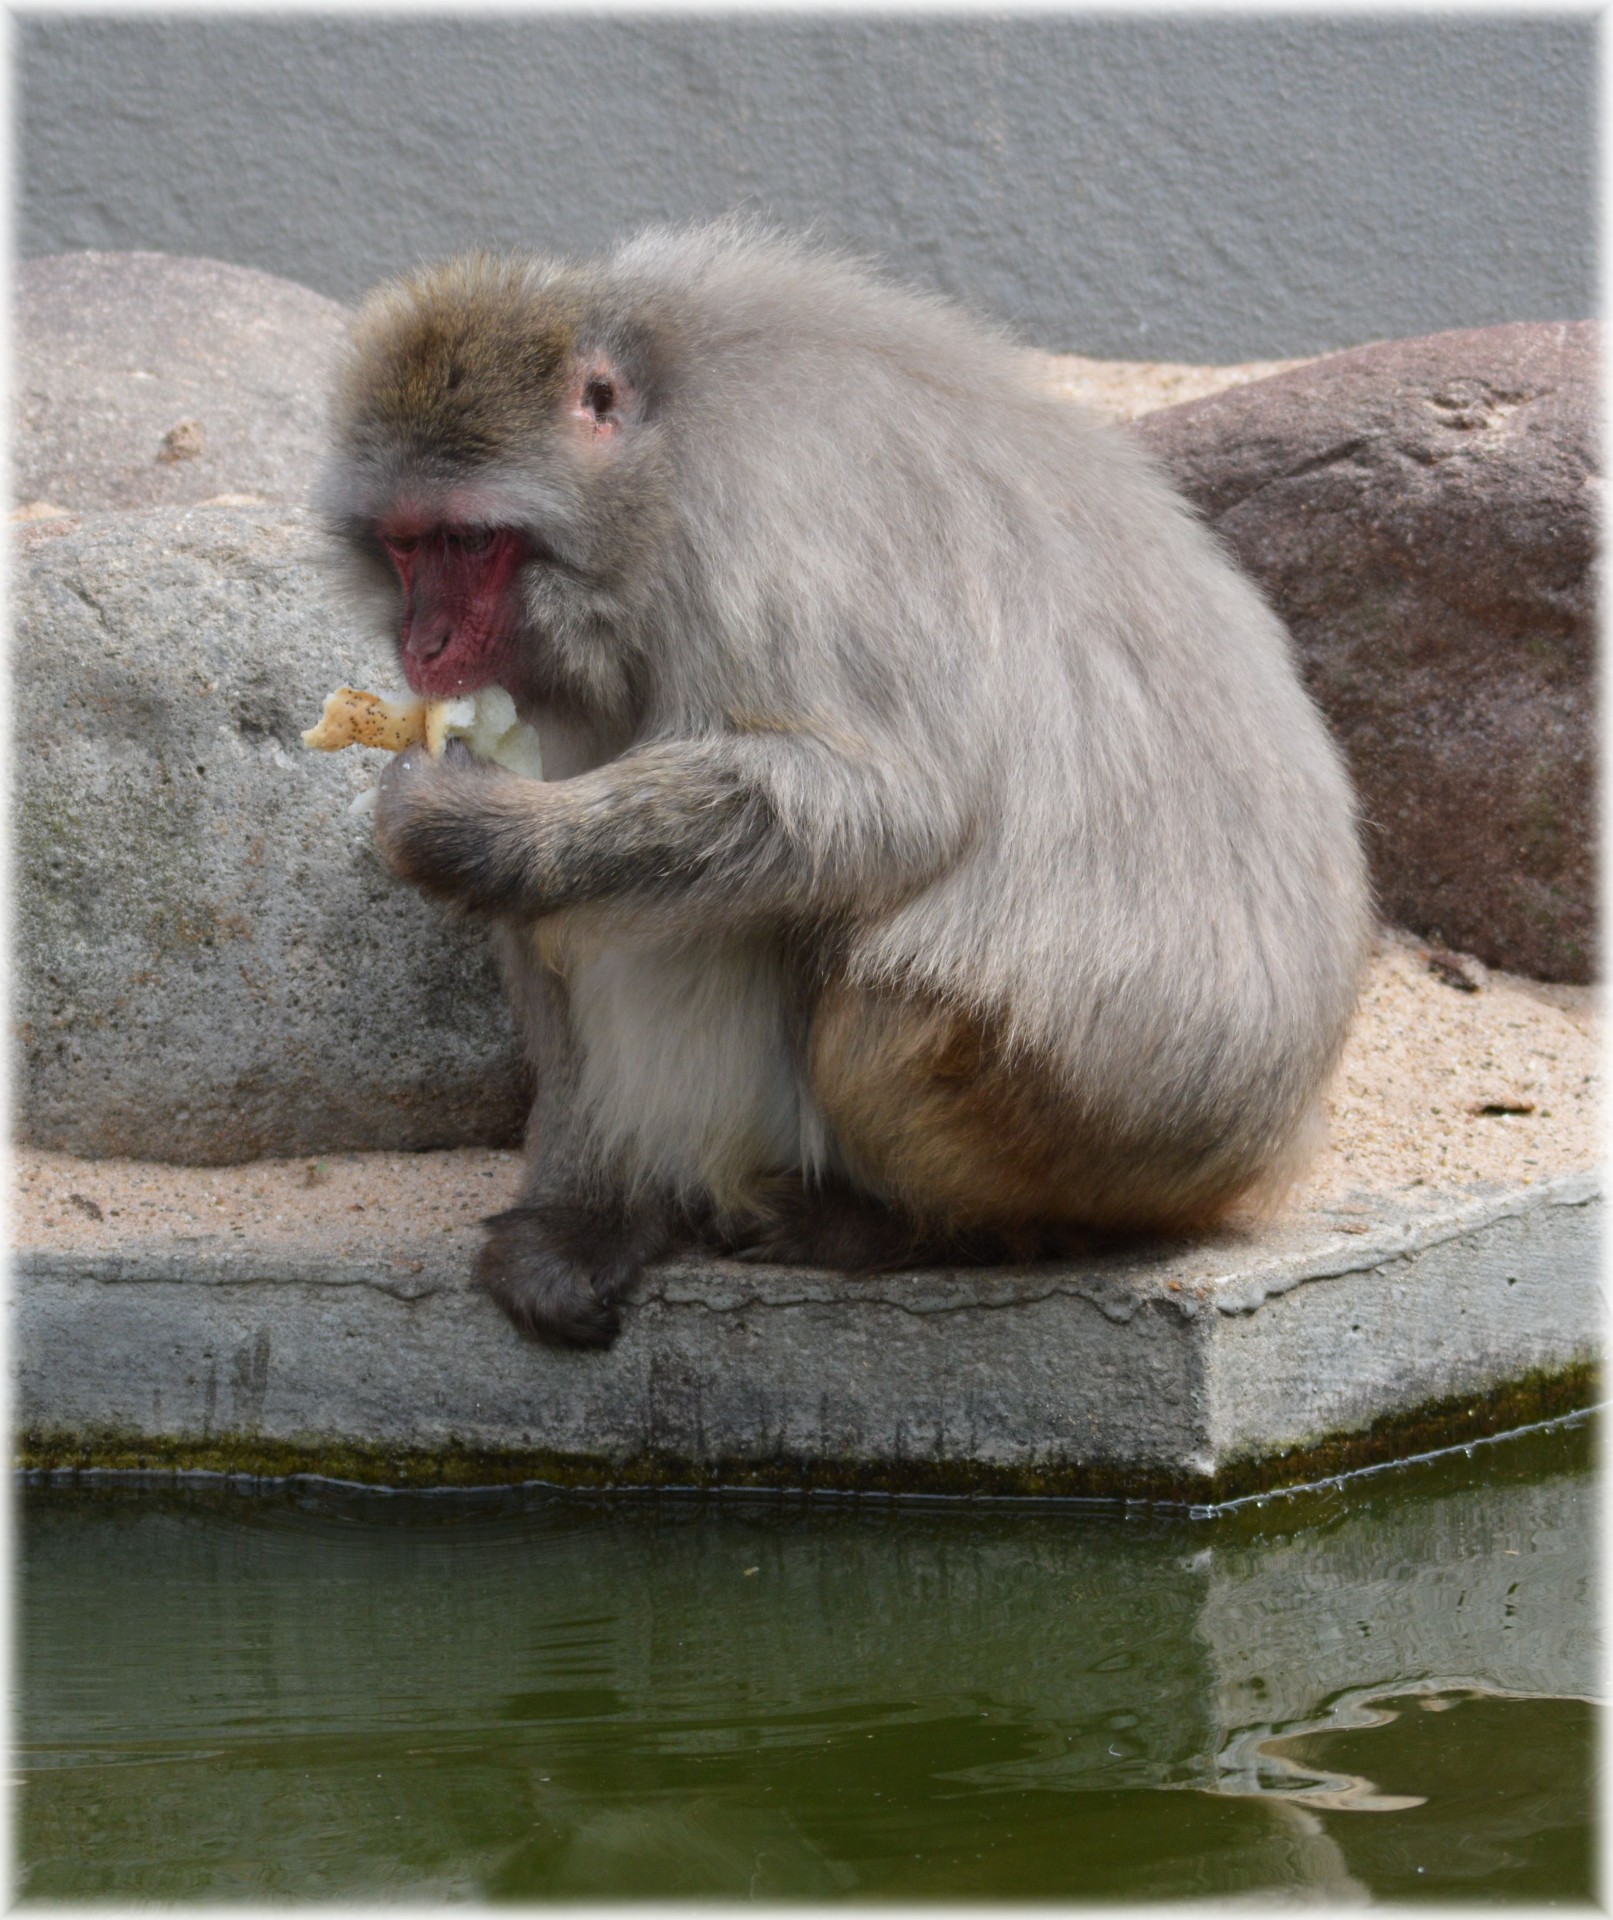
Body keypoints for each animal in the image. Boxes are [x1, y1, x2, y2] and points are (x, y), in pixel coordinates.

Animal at [324, 224, 1374, 1351]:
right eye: (404, 543)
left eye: (471, 541)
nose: (423, 644)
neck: (661, 440)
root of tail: (1281, 1134)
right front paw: (584, 1208)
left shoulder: (746, 536)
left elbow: (879, 808)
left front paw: (467, 827)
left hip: (1081, 1109)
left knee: (855, 996)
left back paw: (928, 1228)